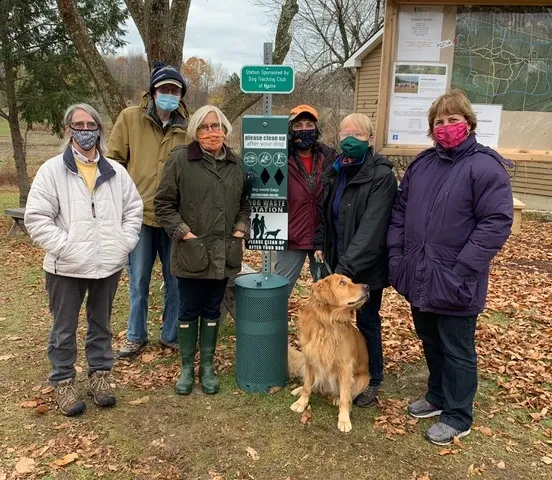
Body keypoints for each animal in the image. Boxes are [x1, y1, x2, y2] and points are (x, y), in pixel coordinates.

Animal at [286, 274, 368, 436]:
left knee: (346, 393)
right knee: (314, 384)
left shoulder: (345, 366)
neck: (327, 323)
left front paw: (344, 420)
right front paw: (301, 402)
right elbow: (307, 386)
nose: (367, 287)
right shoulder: (310, 360)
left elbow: (345, 398)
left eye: (351, 281)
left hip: (361, 380)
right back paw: (299, 390)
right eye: (342, 283)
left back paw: (336, 397)